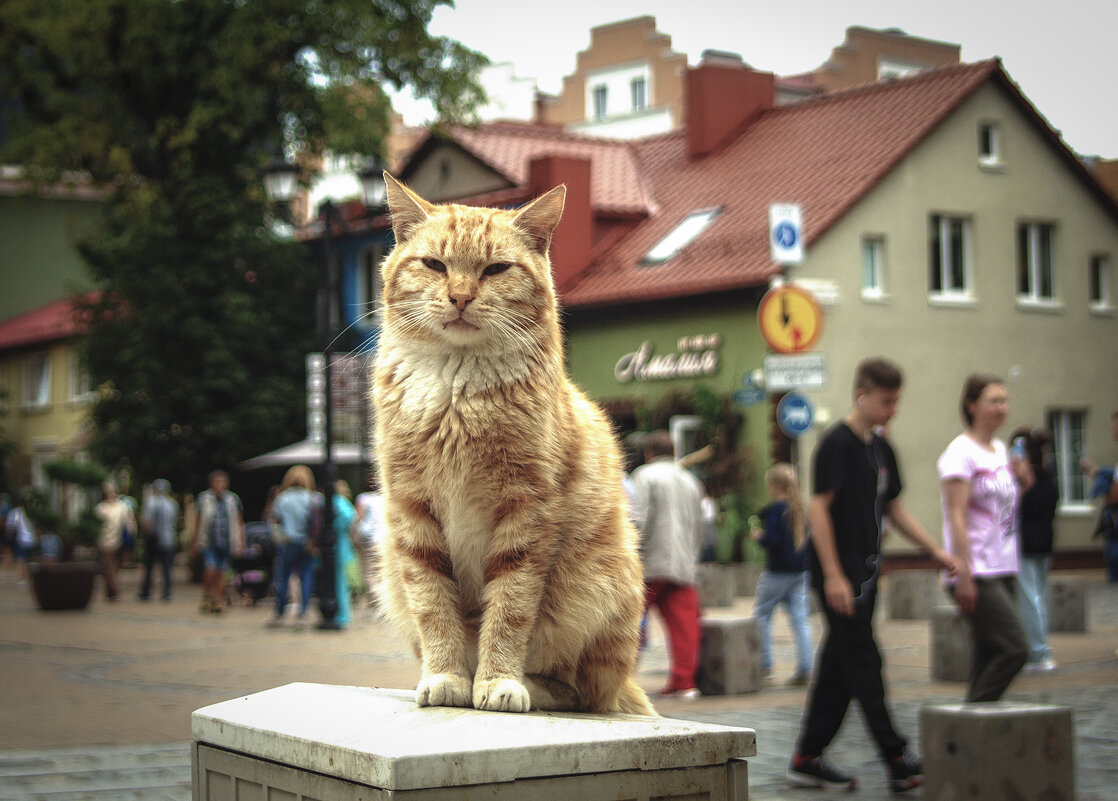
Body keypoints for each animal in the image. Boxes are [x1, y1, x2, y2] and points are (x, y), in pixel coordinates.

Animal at [375, 173, 652, 711]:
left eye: (496, 269)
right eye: (435, 265)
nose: (460, 297)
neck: (456, 394)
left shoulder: (526, 513)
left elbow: (508, 610)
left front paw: (498, 680)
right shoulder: (412, 511)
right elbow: (433, 605)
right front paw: (447, 676)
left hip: (598, 582)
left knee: (581, 691)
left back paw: (530, 686)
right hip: (390, 575)